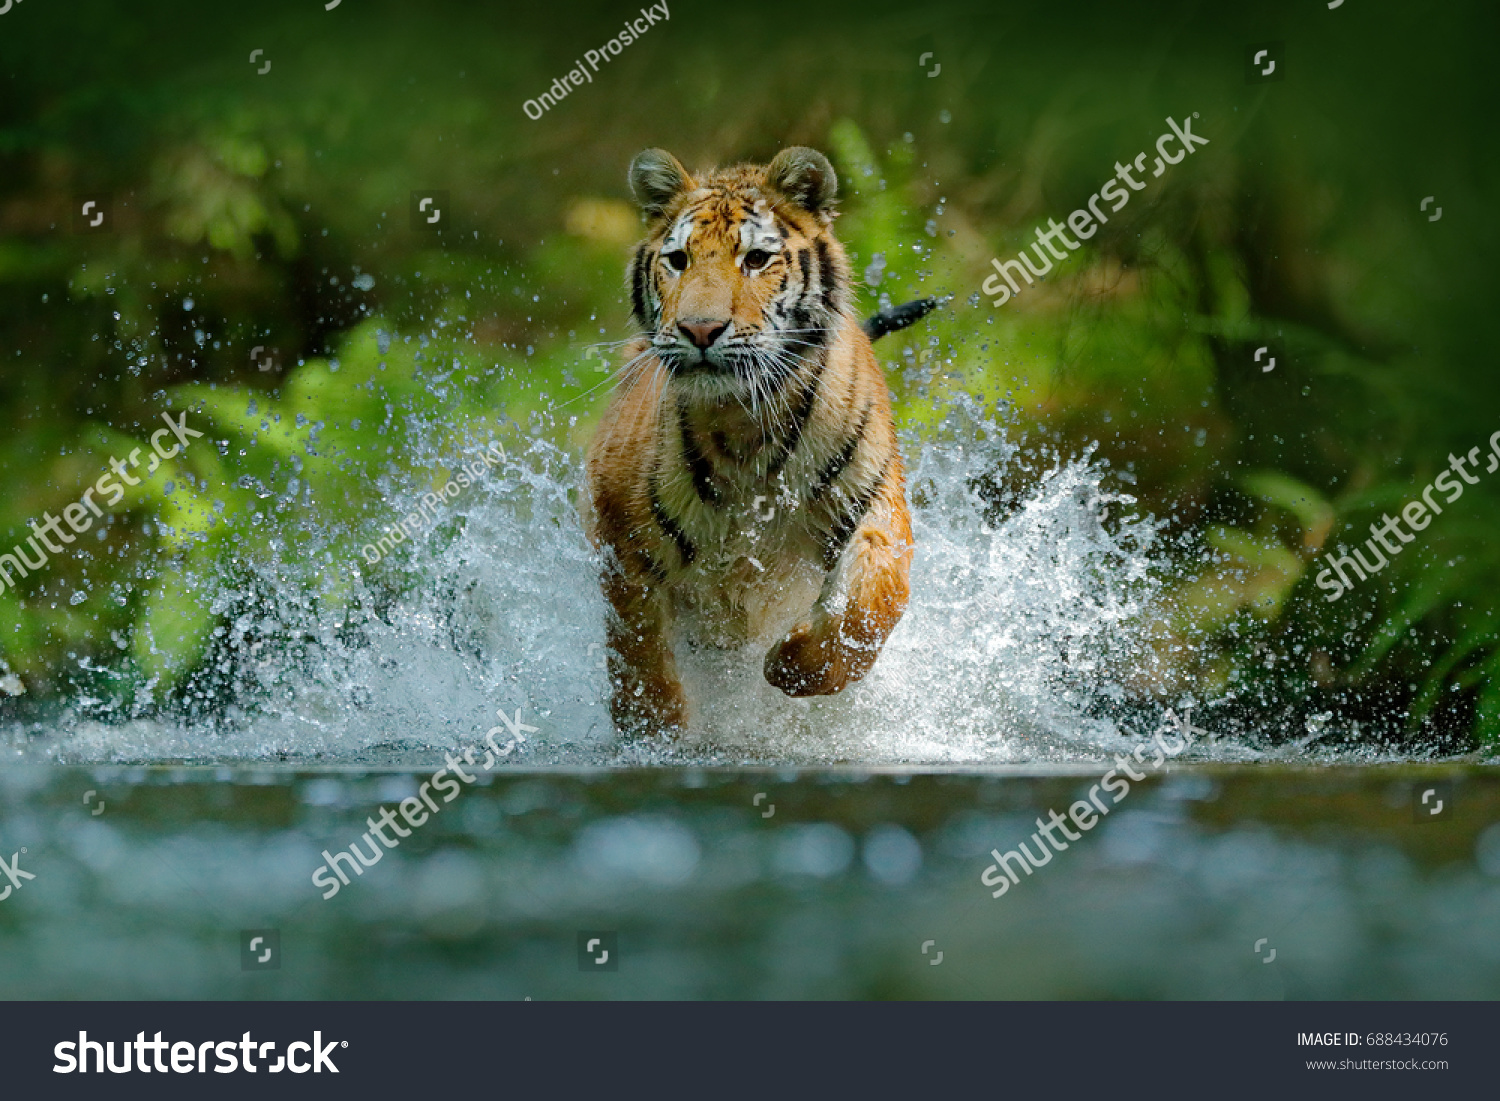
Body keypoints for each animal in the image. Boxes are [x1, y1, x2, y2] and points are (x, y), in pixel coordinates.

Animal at [585, 144, 936, 732]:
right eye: (677, 260)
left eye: (754, 259)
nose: (700, 330)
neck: (744, 422)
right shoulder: (617, 526)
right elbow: (639, 651)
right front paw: (656, 734)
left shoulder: (872, 498)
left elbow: (874, 600)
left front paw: (794, 665)